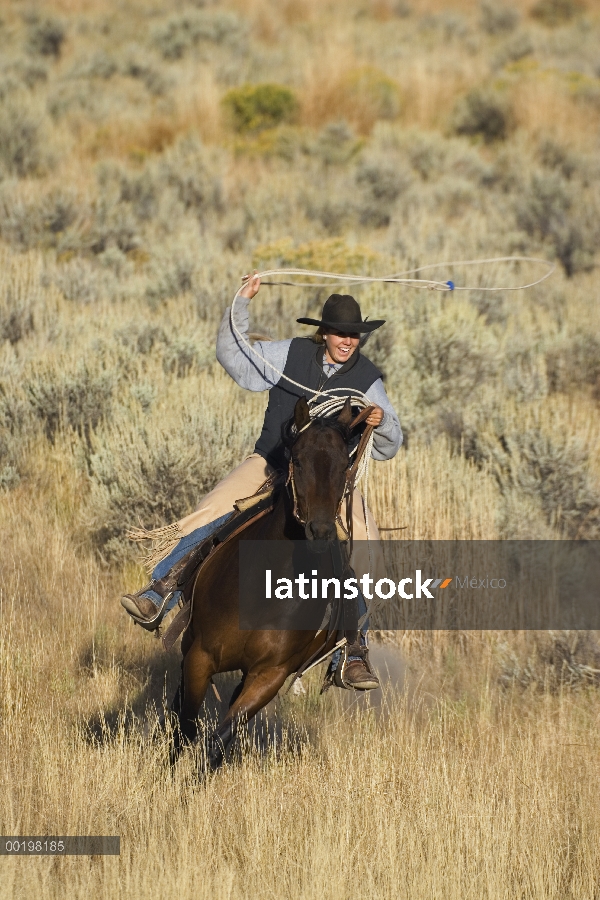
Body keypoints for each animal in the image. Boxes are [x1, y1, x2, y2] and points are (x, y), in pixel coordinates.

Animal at [169, 398, 366, 768]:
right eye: (298, 459)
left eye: (344, 465)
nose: (320, 531)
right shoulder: (201, 655)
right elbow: (186, 725)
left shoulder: (269, 676)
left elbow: (219, 741)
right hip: (189, 641)